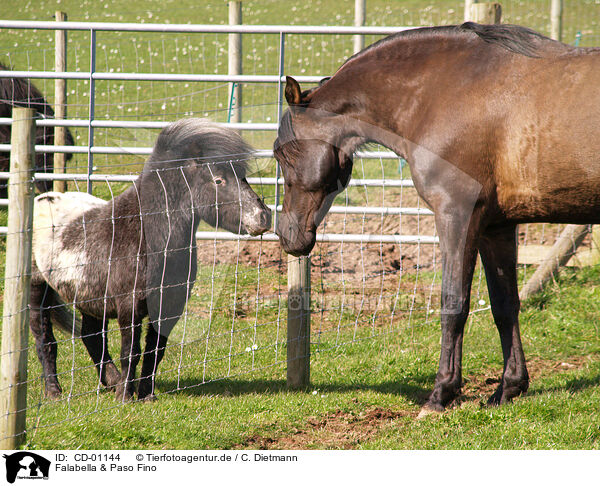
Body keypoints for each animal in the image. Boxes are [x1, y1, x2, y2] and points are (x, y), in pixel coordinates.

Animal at [30, 119, 270, 400]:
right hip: (37, 289)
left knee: (91, 336)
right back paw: (54, 392)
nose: (263, 217)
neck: (147, 235)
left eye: (243, 177)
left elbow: (155, 351)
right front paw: (125, 398)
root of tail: (41, 200)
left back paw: (110, 381)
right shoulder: (129, 306)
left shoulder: (169, 306)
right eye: (219, 180)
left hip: (89, 297)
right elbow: (130, 352)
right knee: (45, 339)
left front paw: (145, 394)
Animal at [276, 22, 600, 416]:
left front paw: (441, 394)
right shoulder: (496, 227)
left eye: (282, 153)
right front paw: (508, 388)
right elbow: (504, 305)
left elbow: (453, 303)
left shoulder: (457, 215)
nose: (288, 235)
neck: (445, 91)